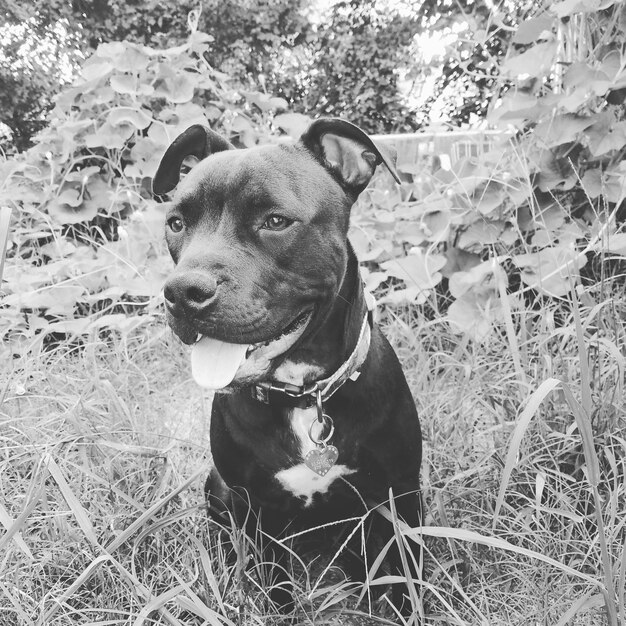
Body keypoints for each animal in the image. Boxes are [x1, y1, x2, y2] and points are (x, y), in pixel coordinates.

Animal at [153, 117, 422, 616]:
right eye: (176, 223)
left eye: (275, 221)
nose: (181, 292)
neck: (304, 395)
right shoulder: (254, 506)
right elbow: (273, 582)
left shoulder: (400, 495)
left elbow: (406, 573)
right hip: (217, 488)